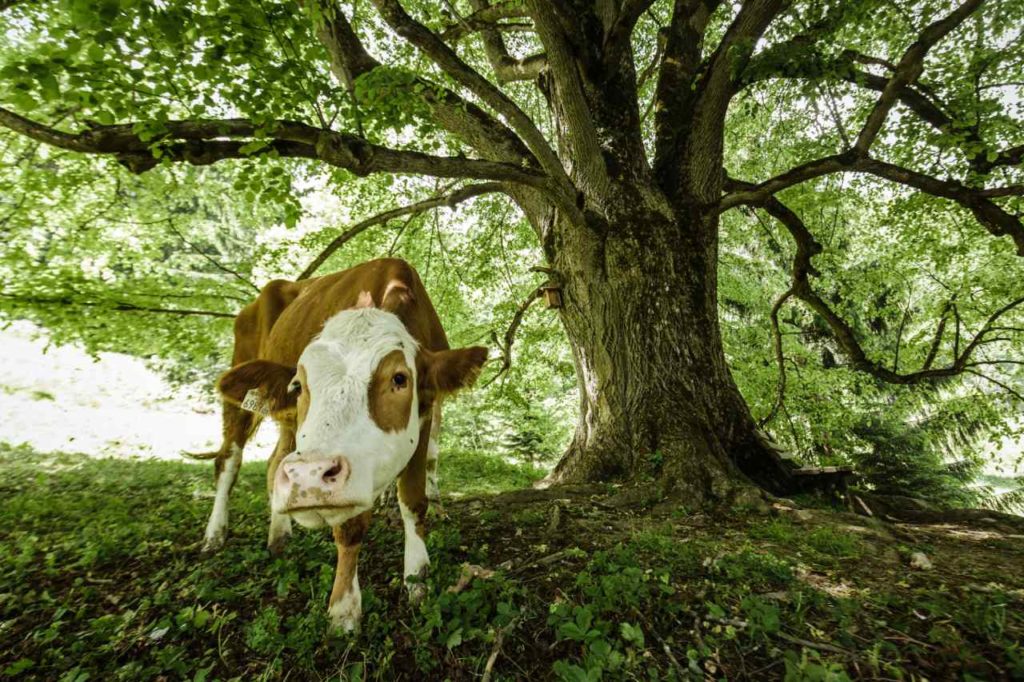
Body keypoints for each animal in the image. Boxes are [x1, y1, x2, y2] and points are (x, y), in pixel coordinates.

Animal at [192, 258, 487, 630]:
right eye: (298, 385)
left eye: (400, 379)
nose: (309, 477)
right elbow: (350, 526)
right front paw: (344, 607)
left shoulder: (426, 415)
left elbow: (413, 500)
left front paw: (417, 577)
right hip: (243, 391)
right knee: (228, 460)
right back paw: (215, 533)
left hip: (290, 427)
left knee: (275, 462)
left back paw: (279, 535)